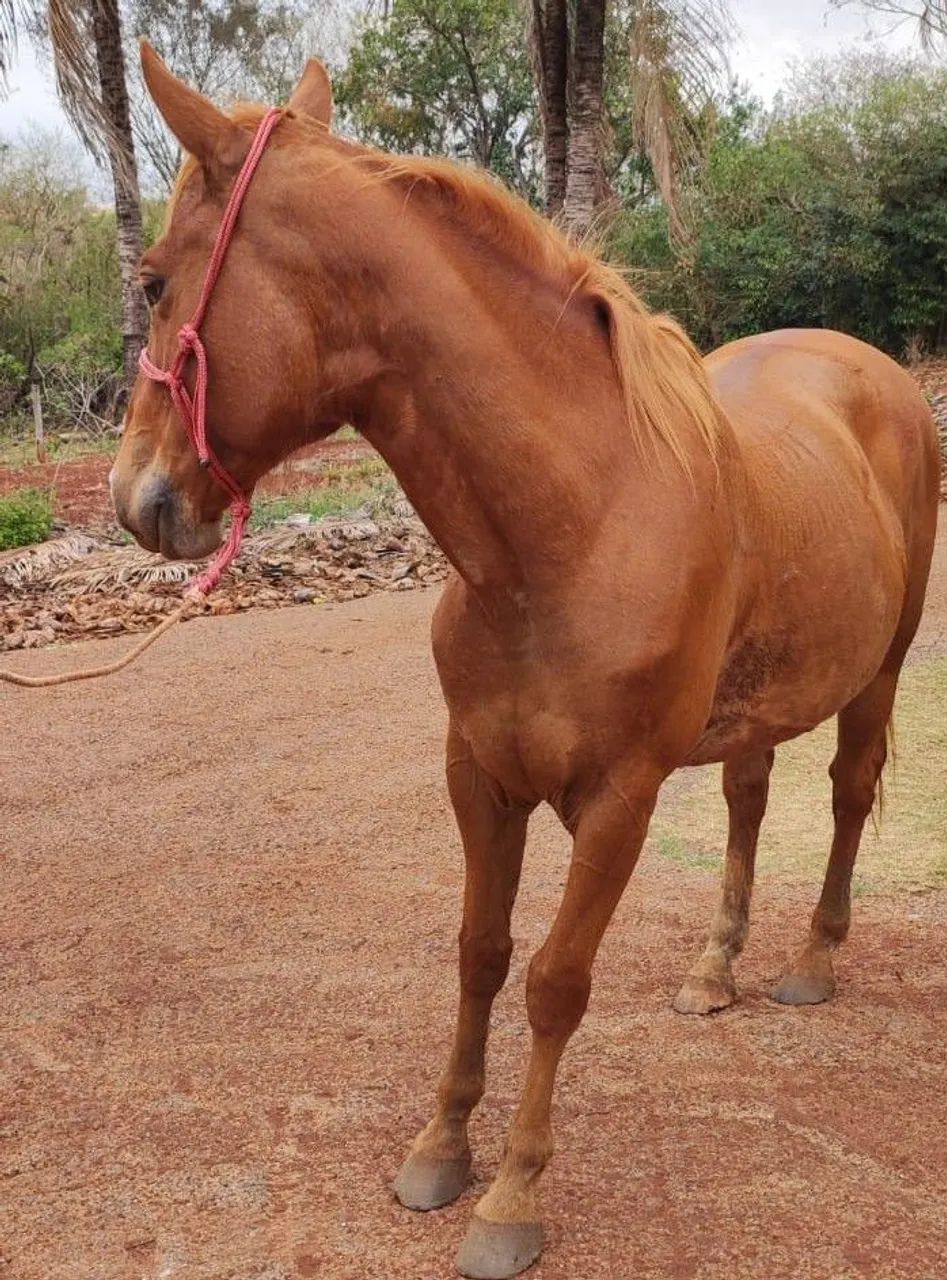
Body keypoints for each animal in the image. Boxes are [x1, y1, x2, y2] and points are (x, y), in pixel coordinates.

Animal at [111, 43, 941, 1280]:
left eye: (157, 282)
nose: (136, 501)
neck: (574, 525)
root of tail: (872, 371)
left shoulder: (618, 800)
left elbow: (553, 980)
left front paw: (509, 1196)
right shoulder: (478, 776)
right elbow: (479, 953)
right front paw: (439, 1150)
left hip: (877, 672)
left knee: (843, 794)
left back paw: (809, 961)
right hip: (755, 705)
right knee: (748, 799)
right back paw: (714, 968)